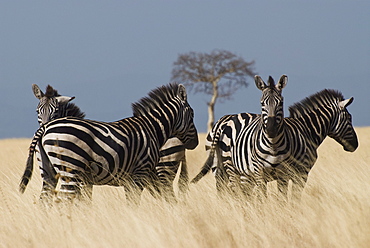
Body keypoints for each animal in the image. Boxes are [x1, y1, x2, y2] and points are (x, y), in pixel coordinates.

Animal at [20, 83, 198, 203]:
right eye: (193, 114)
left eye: (55, 111)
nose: (195, 143)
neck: (151, 128)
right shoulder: (139, 173)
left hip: (51, 173)